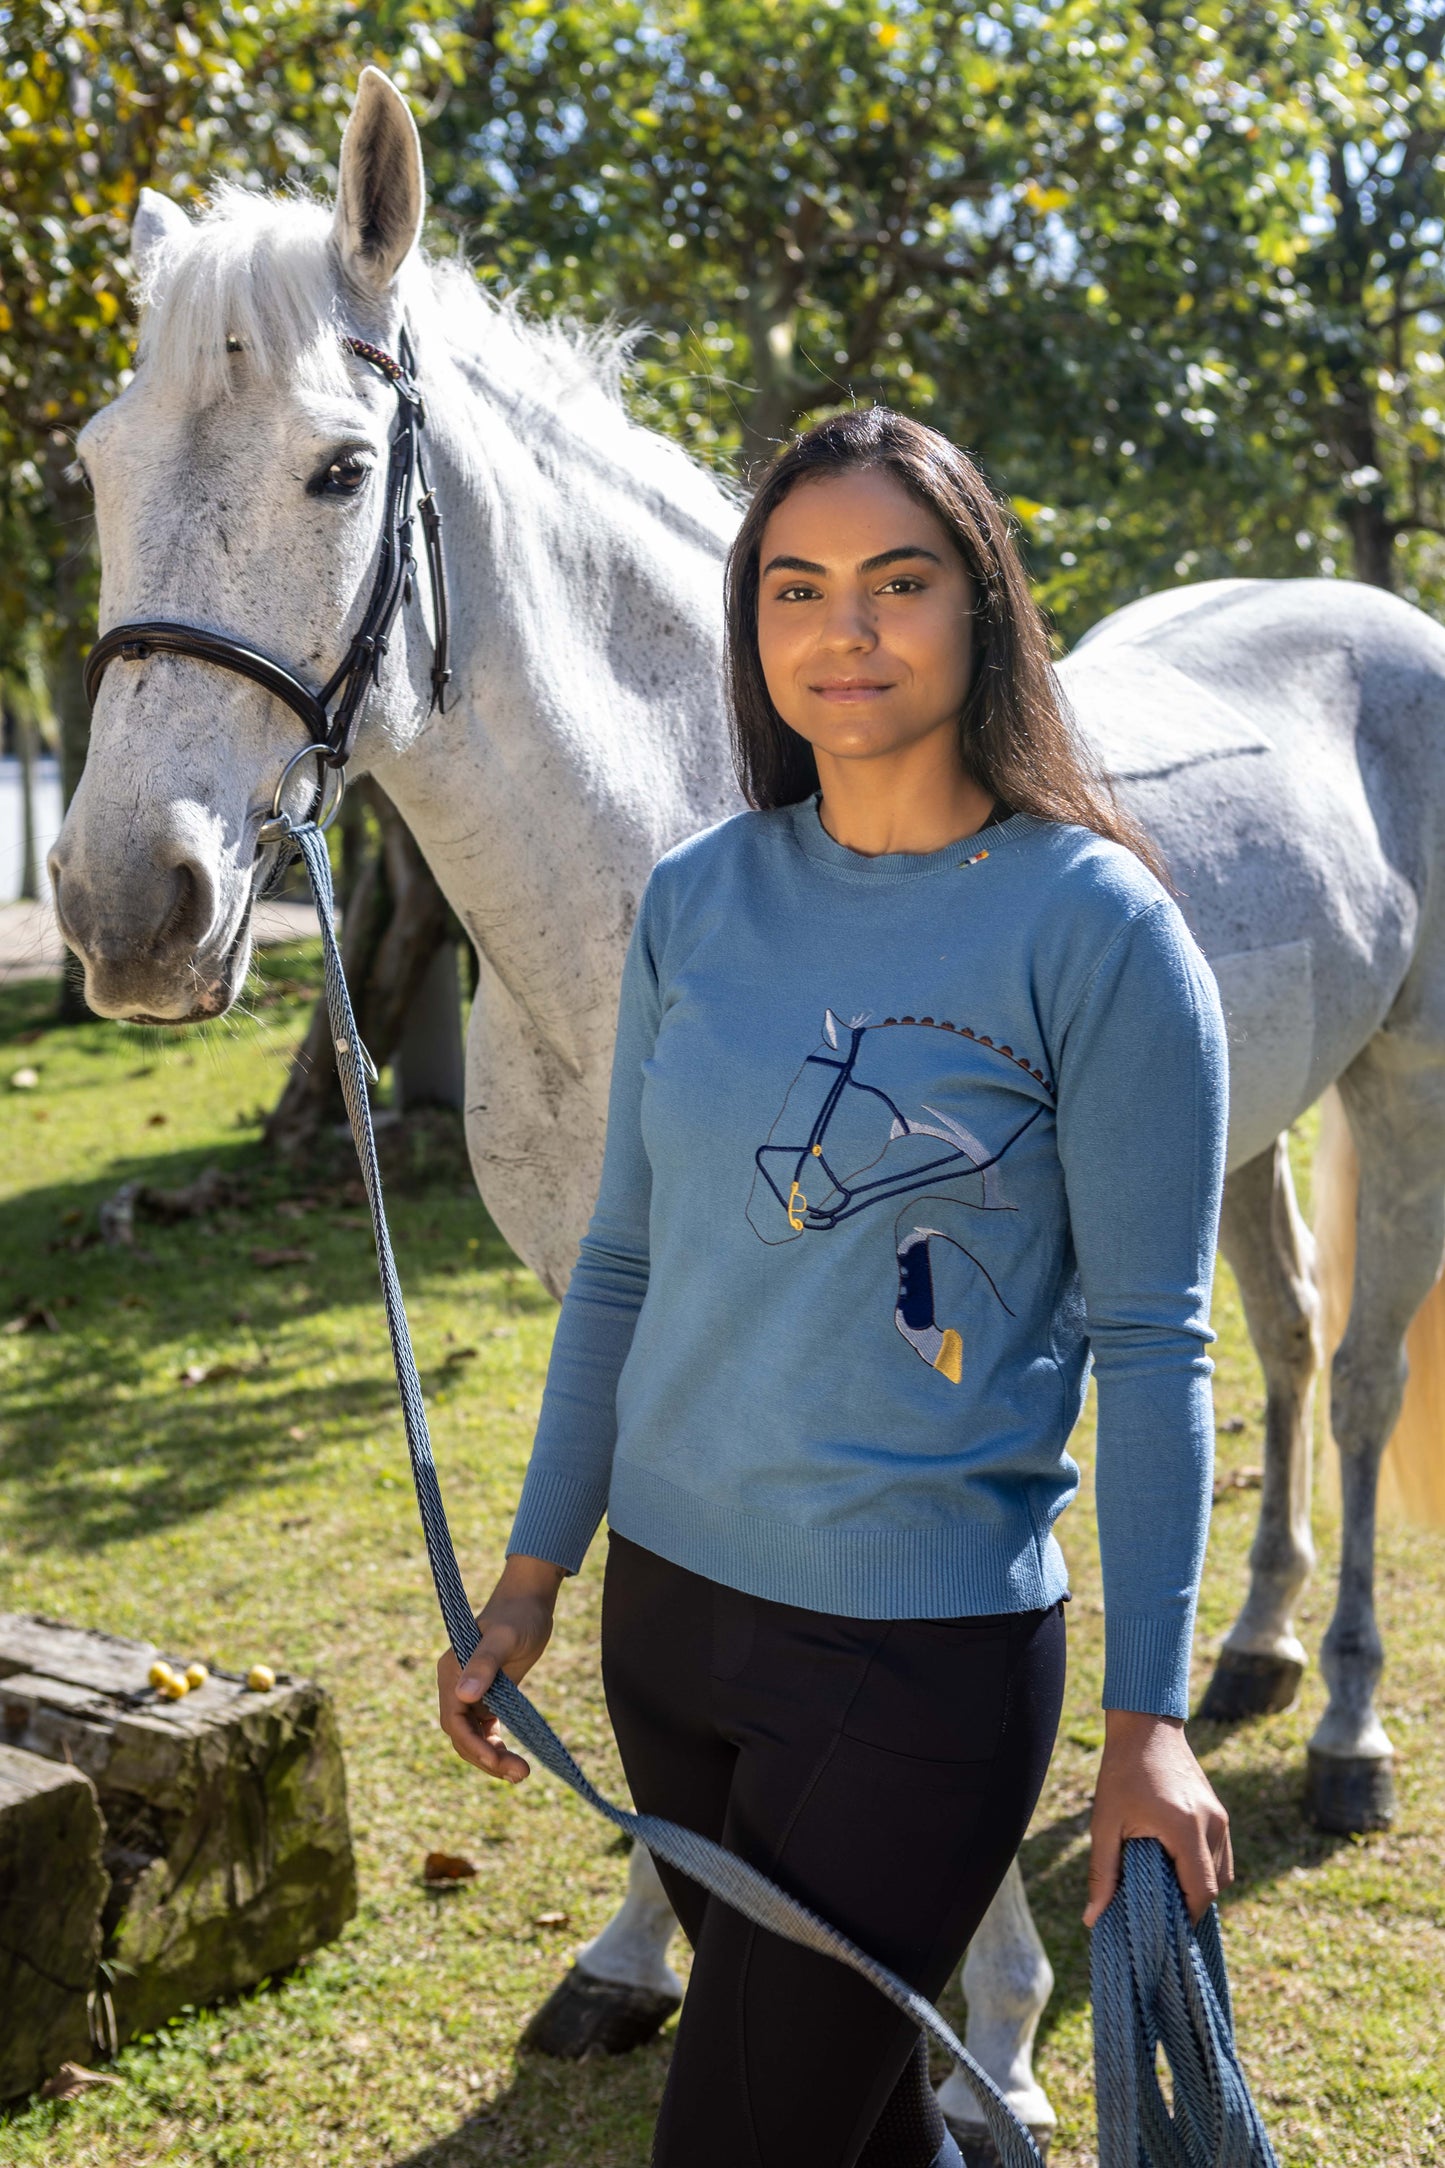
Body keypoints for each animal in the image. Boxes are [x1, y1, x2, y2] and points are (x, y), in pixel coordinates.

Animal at [49, 67, 1445, 2156]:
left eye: (336, 471)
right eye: (94, 466)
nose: (128, 911)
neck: (675, 841)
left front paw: (996, 2030)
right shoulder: (608, 1284)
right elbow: (621, 1548)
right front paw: (637, 1949)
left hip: (1401, 1083)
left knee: (1354, 1381)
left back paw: (1347, 1724)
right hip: (1249, 1123)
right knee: (1274, 1346)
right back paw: (1258, 1643)